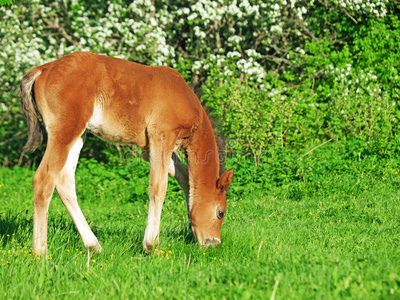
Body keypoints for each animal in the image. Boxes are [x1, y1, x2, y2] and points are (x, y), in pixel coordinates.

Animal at [21, 52, 234, 254]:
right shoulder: (162, 136)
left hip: (79, 135)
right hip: (65, 132)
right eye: (220, 213)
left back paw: (93, 245)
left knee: (64, 181)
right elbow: (159, 187)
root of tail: (44, 68)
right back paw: (41, 251)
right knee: (43, 179)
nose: (213, 243)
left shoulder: (150, 149)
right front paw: (151, 245)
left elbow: (185, 177)